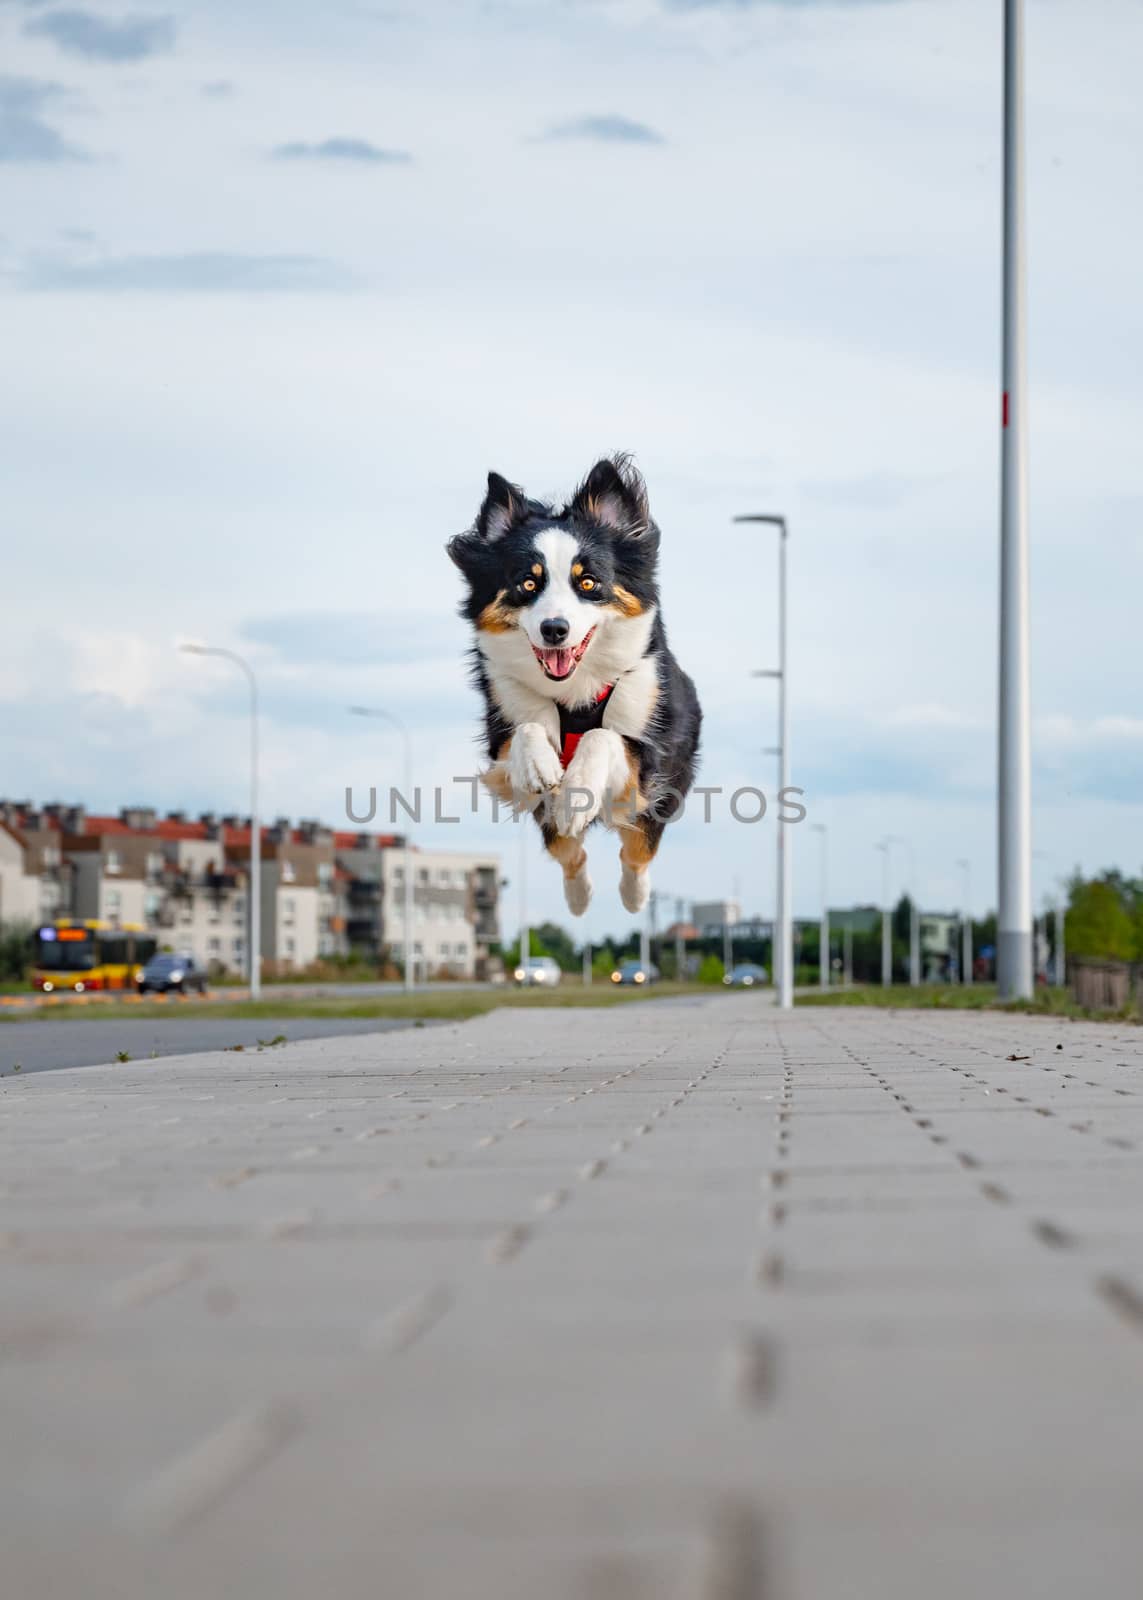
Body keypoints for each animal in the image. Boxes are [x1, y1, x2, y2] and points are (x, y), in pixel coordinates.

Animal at [448, 457, 697, 921]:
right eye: (528, 584)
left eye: (588, 583)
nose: (554, 629)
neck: (576, 692)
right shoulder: (501, 746)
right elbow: (526, 731)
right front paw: (541, 764)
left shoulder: (647, 756)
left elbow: (604, 736)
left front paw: (576, 788)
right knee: (569, 848)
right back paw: (579, 897)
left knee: (637, 849)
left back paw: (635, 897)